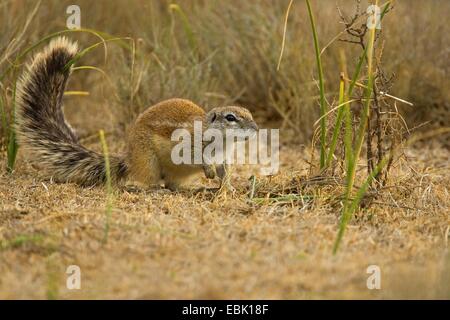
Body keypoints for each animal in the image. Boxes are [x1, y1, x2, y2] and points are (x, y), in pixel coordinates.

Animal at [16, 37, 256, 190]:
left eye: (250, 114)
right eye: (231, 118)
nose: (255, 129)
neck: (221, 142)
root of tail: (128, 158)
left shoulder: (224, 158)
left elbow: (225, 172)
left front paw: (228, 187)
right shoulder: (190, 143)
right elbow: (198, 156)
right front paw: (209, 172)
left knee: (172, 185)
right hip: (148, 161)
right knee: (150, 183)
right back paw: (155, 189)